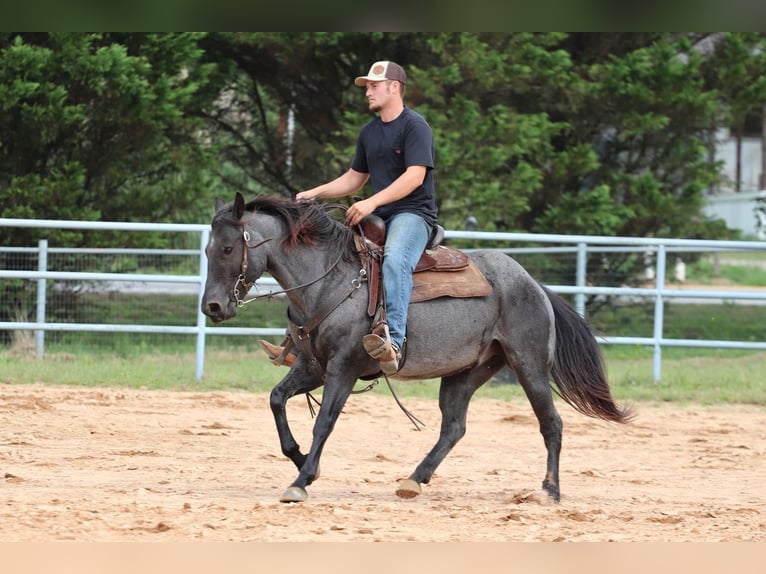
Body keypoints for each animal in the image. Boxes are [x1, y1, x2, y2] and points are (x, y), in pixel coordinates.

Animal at [201, 194, 632, 504]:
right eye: (206, 250)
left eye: (228, 249)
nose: (213, 307)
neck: (329, 280)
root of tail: (534, 285)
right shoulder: (313, 366)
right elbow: (276, 399)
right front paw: (301, 458)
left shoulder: (343, 368)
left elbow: (324, 421)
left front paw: (303, 479)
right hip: (466, 373)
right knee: (454, 428)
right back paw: (414, 479)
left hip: (529, 365)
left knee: (551, 423)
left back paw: (548, 491)